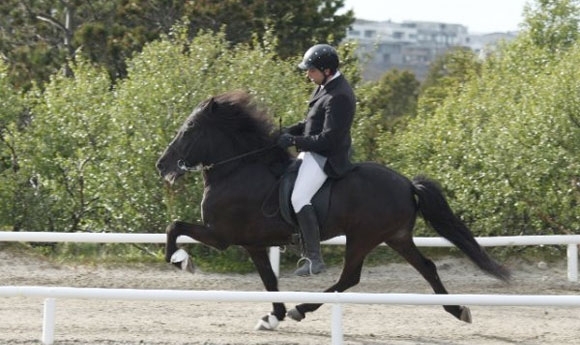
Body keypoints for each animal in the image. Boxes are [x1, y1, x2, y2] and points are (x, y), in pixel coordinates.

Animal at [156, 90, 510, 330]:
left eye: (189, 129)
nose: (162, 165)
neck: (239, 168)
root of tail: (407, 184)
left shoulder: (222, 236)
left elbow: (174, 226)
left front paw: (181, 261)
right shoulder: (253, 244)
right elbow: (269, 280)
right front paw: (274, 316)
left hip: (363, 237)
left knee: (349, 277)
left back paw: (302, 308)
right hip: (395, 236)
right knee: (426, 267)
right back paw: (458, 310)